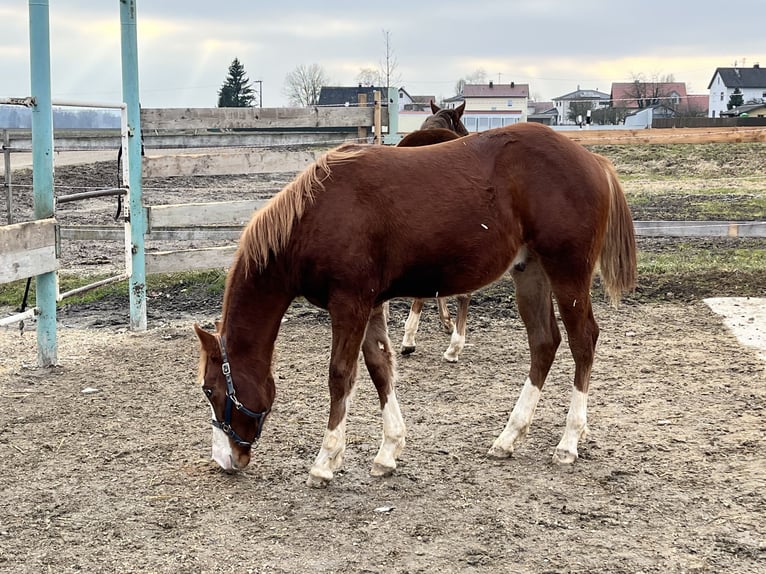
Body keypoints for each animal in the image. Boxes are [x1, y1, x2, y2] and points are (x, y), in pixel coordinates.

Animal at [195, 122, 640, 490]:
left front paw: (325, 461)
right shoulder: (370, 304)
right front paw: (388, 451)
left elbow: (340, 375)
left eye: (210, 389)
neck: (315, 215)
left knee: (583, 342)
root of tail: (595, 161)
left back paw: (569, 441)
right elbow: (379, 368)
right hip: (529, 272)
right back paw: (508, 437)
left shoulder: (349, 303)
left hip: (568, 274)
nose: (225, 461)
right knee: (544, 343)